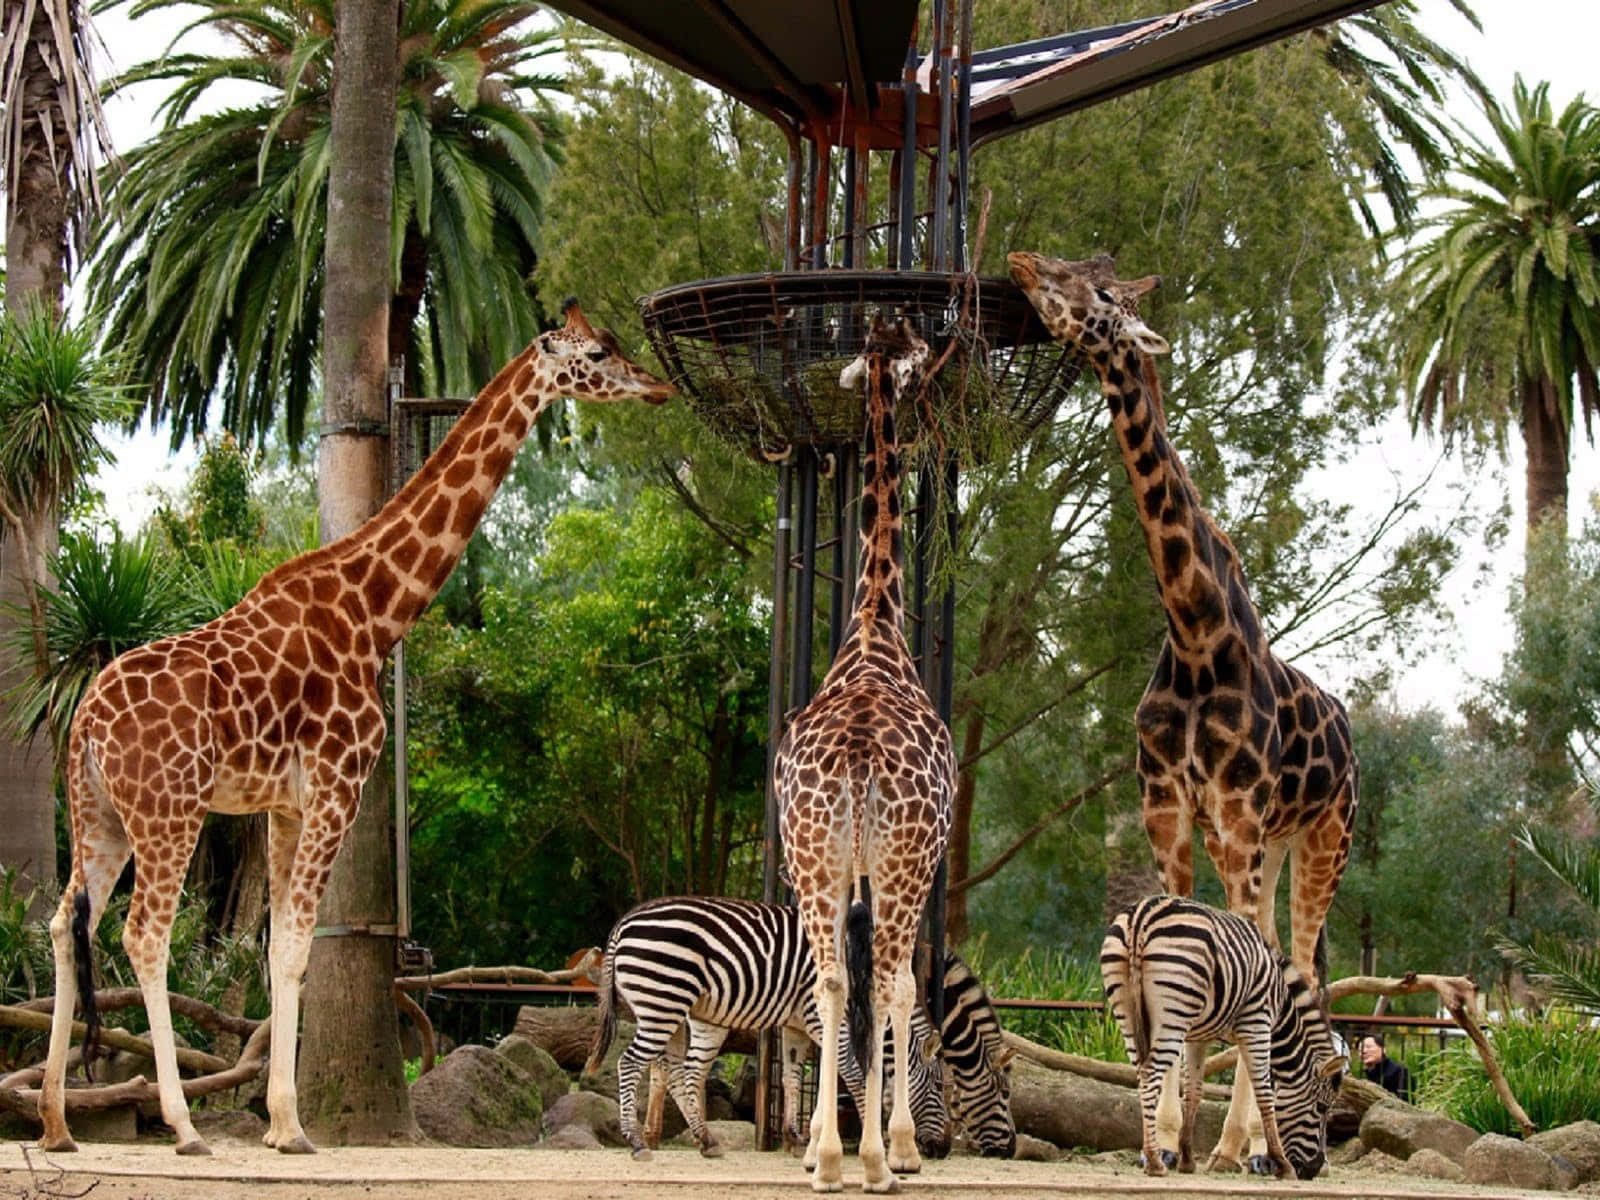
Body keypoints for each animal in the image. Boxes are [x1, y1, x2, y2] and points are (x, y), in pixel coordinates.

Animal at [36, 300, 674, 1157]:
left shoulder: (282, 805)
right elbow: (297, 945)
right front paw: (291, 1126)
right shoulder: (338, 784)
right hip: (169, 812)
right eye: (599, 352)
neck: (375, 612)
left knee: (61, 923)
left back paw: (55, 1122)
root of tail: (84, 727)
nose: (658, 386)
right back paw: (182, 1126)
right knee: (143, 934)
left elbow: (277, 946)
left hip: (101, 816)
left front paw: (280, 1122)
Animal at [585, 896, 1014, 1160]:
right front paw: (869, 1139)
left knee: (682, 1073)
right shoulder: (827, 1021)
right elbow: (853, 1077)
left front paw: (796, 1137)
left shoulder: (797, 1025)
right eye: (941, 1087)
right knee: (630, 1064)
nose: (943, 1149)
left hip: (686, 1013)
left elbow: (793, 1078)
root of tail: (624, 922)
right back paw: (638, 1141)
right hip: (663, 1002)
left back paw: (704, 1140)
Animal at [1100, 894, 1345, 1181]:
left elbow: (1194, 1092)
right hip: (1173, 1015)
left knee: (1141, 1072)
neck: (1282, 1004)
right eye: (1322, 1108)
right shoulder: (1257, 1022)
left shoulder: (1197, 1037)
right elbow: (1264, 1094)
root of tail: (1142, 916)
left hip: (1127, 1011)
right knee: (1151, 1074)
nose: (1313, 1169)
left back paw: (1153, 1154)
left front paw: (1187, 1159)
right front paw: (1282, 1164)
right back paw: (1154, 1161)